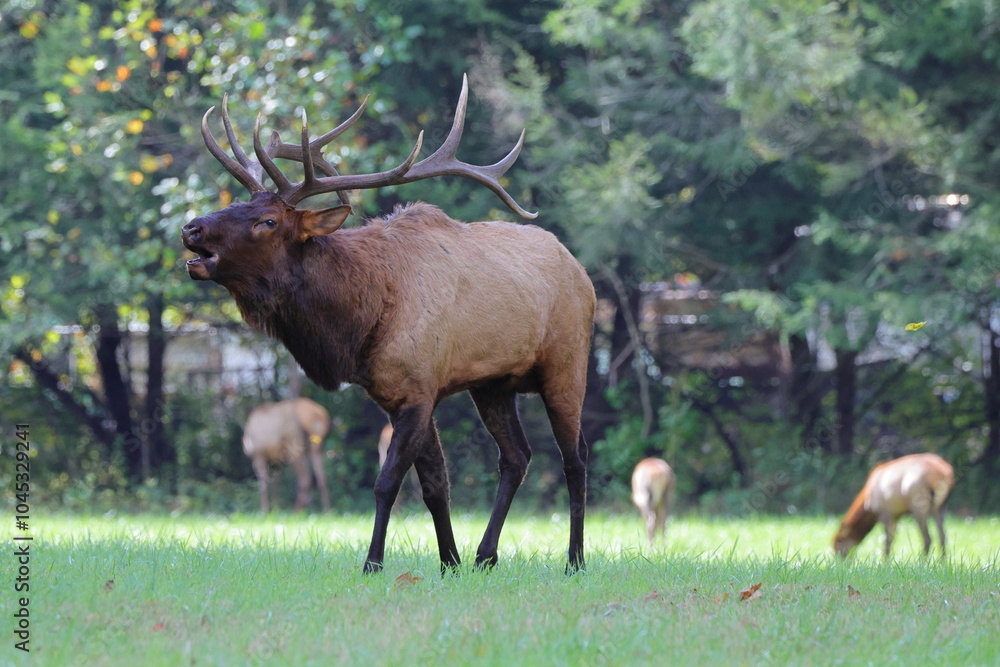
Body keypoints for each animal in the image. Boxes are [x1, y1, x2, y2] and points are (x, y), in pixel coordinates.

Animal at [182, 74, 592, 576]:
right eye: (238, 201)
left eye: (268, 220)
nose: (192, 228)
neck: (359, 325)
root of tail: (583, 273)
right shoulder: (402, 395)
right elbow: (435, 486)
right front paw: (450, 563)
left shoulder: (417, 389)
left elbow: (387, 483)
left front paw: (373, 563)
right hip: (493, 384)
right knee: (516, 457)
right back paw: (485, 555)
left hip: (566, 365)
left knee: (575, 459)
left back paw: (575, 560)